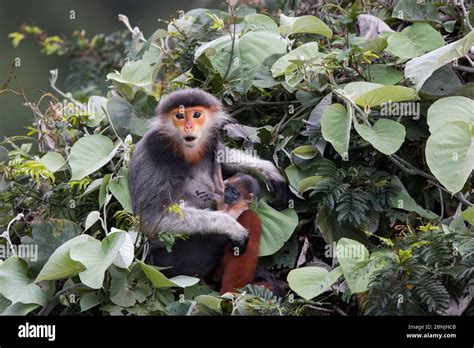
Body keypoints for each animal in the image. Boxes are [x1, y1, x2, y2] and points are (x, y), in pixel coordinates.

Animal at [128, 89, 286, 278]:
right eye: (179, 116)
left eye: (196, 115)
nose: (188, 127)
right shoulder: (155, 148)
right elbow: (151, 219)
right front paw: (233, 227)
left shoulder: (212, 139)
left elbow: (224, 157)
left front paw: (270, 171)